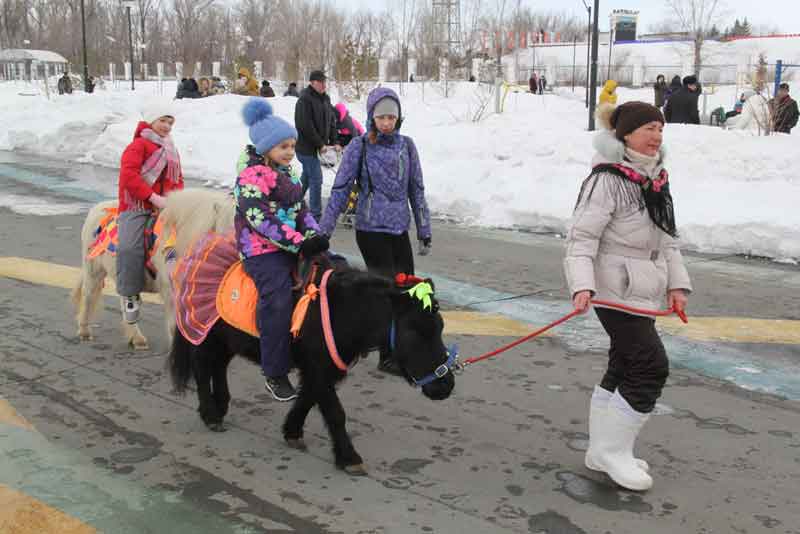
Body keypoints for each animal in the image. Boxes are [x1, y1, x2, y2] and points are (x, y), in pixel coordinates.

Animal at [72, 189, 236, 352]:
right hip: (93, 270)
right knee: (89, 295)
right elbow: (175, 324)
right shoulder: (171, 291)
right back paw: (85, 332)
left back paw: (136, 339)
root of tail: (96, 209)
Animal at [167, 268, 456, 478]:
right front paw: (349, 458)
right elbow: (335, 412)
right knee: (202, 365)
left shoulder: (319, 370)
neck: (344, 311)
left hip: (228, 339)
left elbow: (307, 399)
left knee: (219, 366)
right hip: (207, 333)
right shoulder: (318, 368)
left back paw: (221, 406)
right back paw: (211, 414)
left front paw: (292, 432)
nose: (445, 386)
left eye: (440, 326)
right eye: (415, 331)